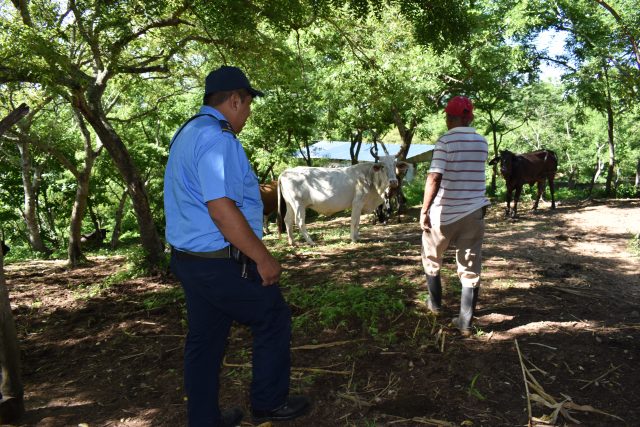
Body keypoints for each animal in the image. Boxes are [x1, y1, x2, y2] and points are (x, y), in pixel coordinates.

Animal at [277, 154, 412, 245]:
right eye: (383, 166)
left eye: (395, 165)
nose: (393, 181)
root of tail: (285, 172)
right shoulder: (357, 203)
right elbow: (354, 221)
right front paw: (353, 239)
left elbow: (358, 221)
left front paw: (357, 237)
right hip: (298, 204)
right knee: (299, 221)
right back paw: (310, 242)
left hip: (290, 204)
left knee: (287, 220)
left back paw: (292, 242)